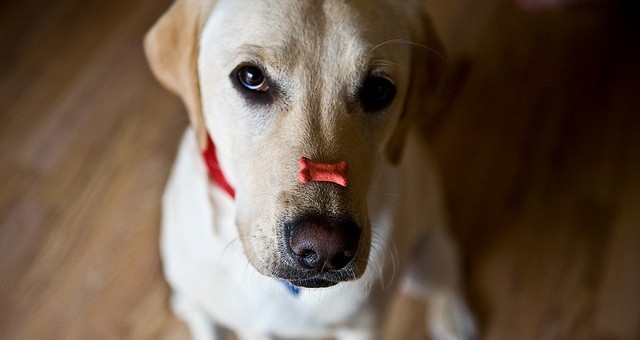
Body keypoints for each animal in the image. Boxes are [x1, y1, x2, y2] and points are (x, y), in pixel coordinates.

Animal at [145, 0, 476, 338]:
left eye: (379, 89)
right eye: (251, 76)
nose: (325, 248)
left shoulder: (363, 327)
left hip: (424, 258)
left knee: (448, 265)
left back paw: (454, 317)